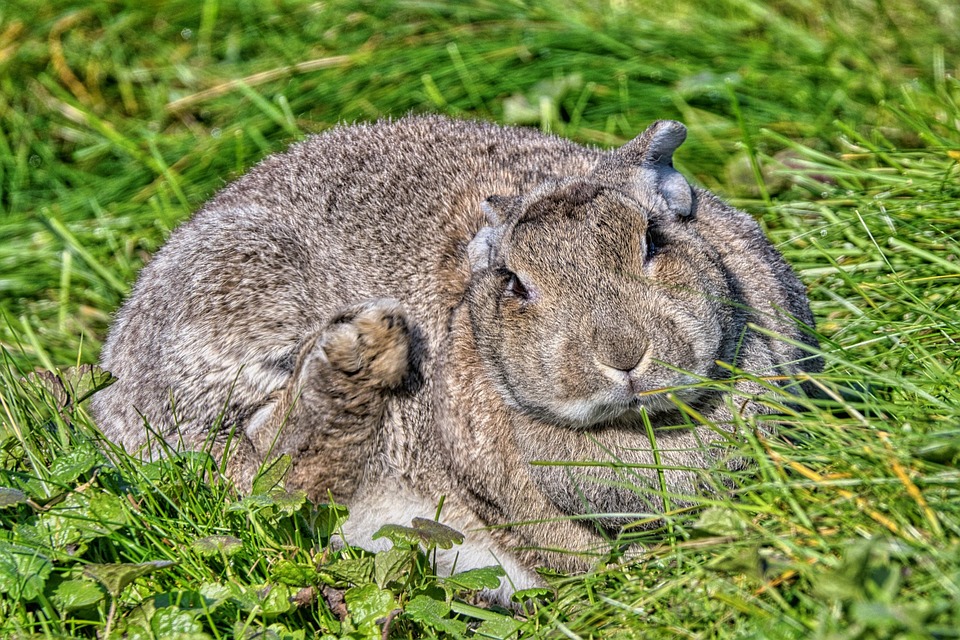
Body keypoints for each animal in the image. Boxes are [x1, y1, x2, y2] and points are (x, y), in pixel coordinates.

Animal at [92, 115, 820, 599]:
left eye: (653, 242)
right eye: (515, 284)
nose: (622, 354)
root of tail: (116, 387)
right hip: (248, 296)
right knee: (272, 471)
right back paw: (364, 350)